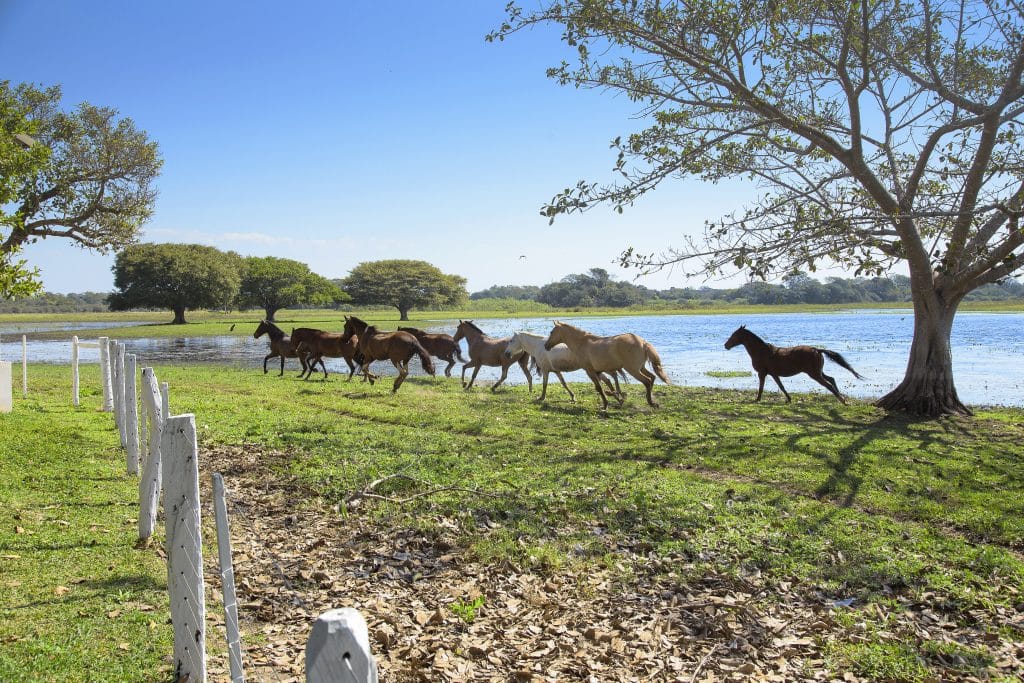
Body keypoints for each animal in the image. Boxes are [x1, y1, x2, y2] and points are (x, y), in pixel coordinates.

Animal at [720, 325, 864, 403]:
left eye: (734, 335)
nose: (726, 345)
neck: (761, 351)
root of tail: (817, 350)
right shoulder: (773, 374)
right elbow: (782, 386)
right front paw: (789, 399)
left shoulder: (762, 373)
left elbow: (761, 387)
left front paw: (757, 399)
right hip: (818, 372)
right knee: (831, 379)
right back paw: (841, 398)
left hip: (814, 374)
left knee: (828, 384)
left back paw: (842, 400)